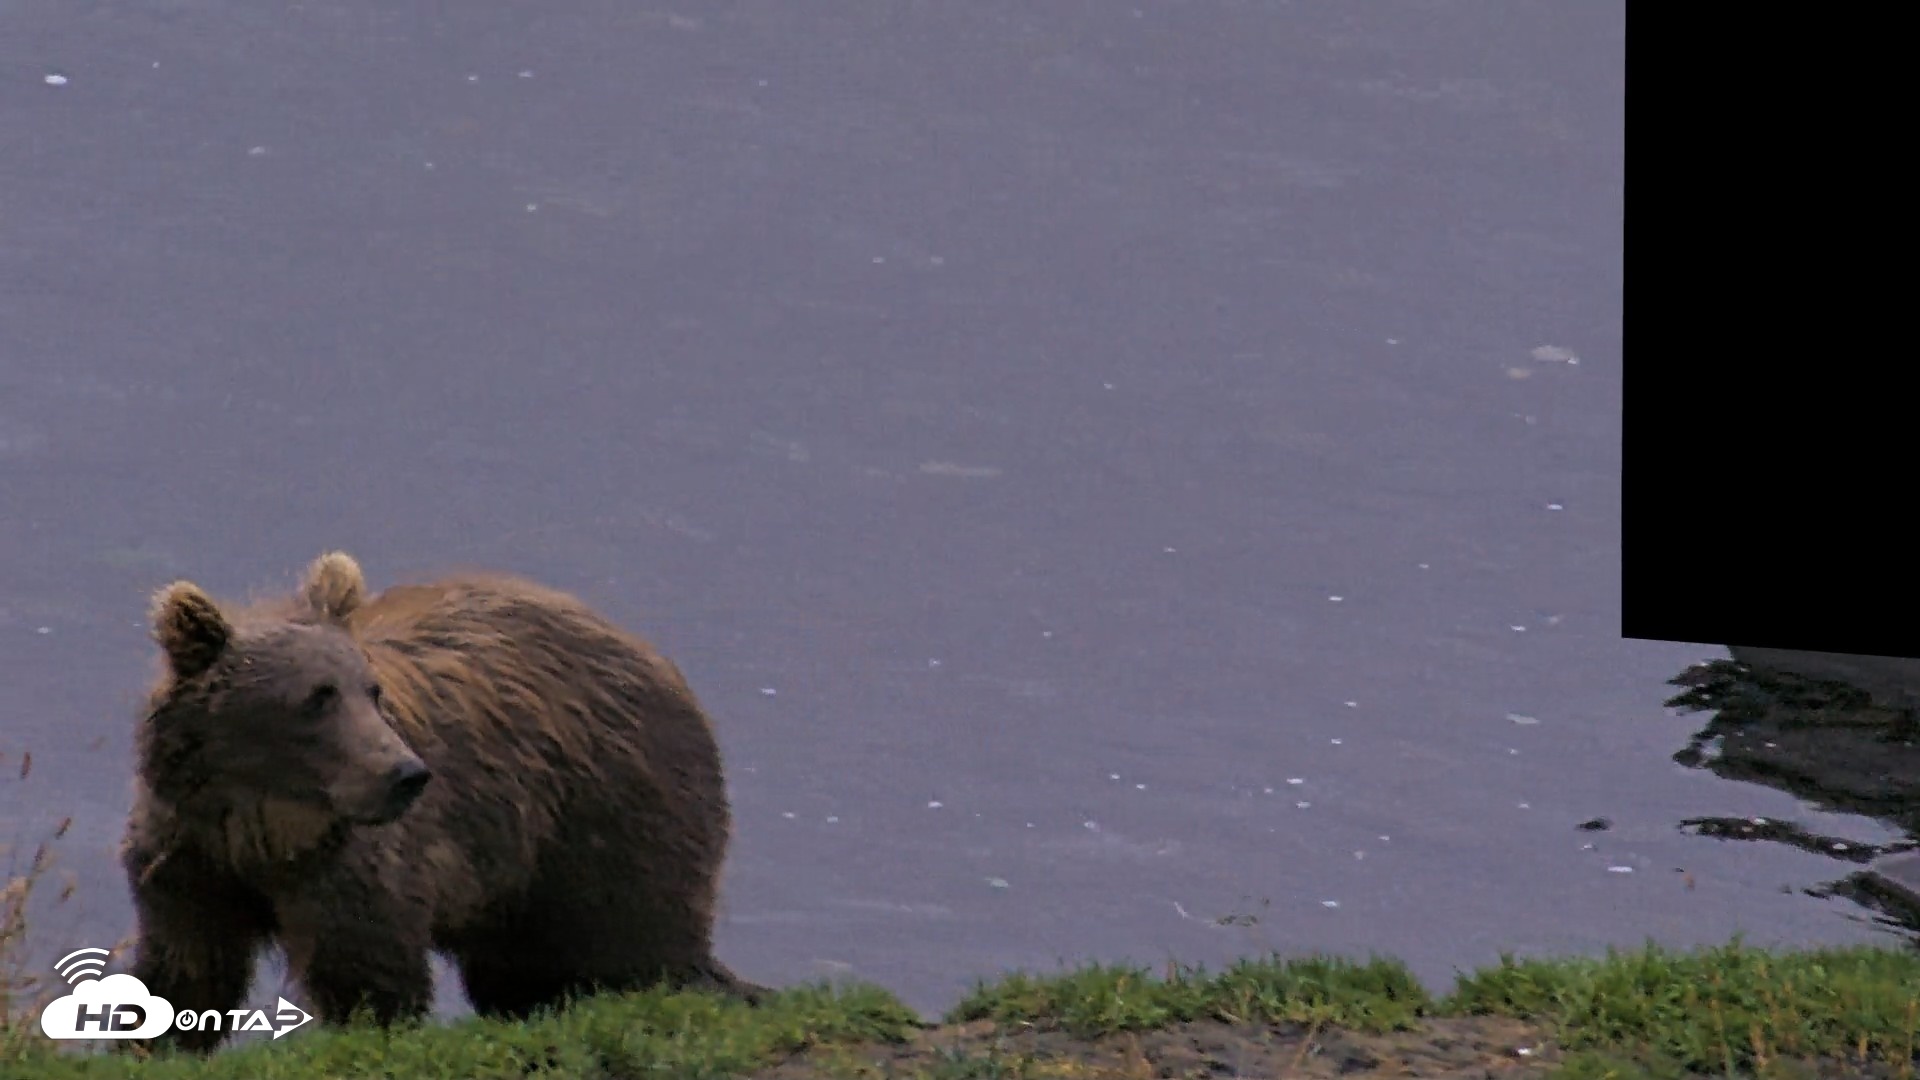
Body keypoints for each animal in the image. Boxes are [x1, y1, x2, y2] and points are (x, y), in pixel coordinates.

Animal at [119, 551, 765, 1054]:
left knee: (638, 944)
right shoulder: (186, 860)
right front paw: (157, 1041)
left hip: (599, 823)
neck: (262, 827)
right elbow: (184, 969)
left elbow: (368, 971)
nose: (404, 774)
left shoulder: (355, 867)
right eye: (317, 698)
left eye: (370, 689)